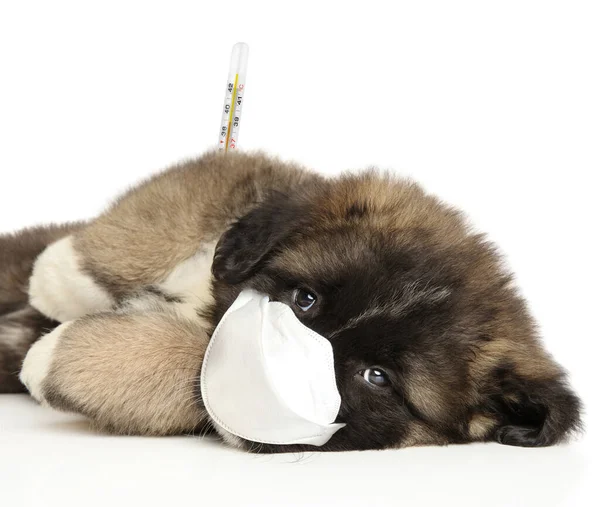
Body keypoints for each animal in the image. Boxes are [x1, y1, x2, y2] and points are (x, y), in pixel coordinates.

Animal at [0, 150, 580, 452]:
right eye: (305, 299)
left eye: (377, 378)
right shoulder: (242, 176)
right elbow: (173, 212)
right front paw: (60, 274)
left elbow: (188, 360)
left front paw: (54, 357)